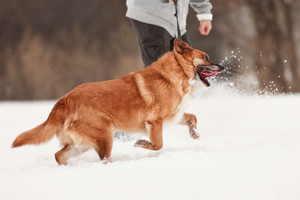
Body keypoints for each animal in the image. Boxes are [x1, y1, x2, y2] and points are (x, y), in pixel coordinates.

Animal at [11, 38, 223, 164]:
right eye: (206, 57)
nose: (221, 67)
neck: (175, 73)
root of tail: (65, 100)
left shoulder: (174, 117)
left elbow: (192, 117)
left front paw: (194, 134)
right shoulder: (155, 122)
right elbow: (158, 144)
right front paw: (142, 143)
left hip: (82, 144)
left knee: (59, 155)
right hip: (105, 136)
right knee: (103, 158)